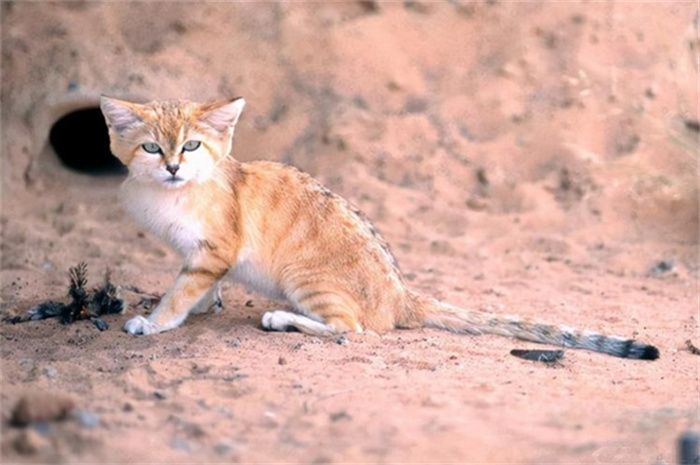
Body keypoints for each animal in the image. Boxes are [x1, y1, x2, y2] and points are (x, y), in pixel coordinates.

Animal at [100, 96, 660, 360]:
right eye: (152, 148)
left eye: (191, 146)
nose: (174, 166)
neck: (171, 194)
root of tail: (401, 295)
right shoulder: (202, 258)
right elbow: (199, 288)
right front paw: (202, 307)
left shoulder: (213, 251)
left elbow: (180, 292)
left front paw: (154, 322)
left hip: (307, 280)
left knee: (354, 329)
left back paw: (281, 320)